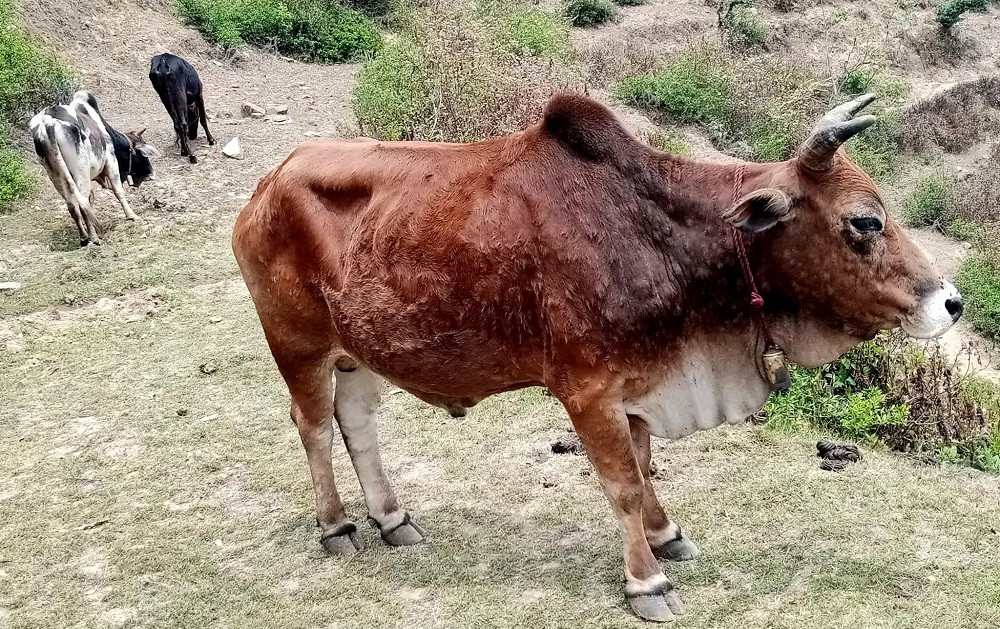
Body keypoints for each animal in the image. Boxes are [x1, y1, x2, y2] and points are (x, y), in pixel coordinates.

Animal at [30, 90, 160, 245]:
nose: (151, 174)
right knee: (82, 203)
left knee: (73, 206)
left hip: (56, 175)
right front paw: (132, 215)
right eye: (141, 154)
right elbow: (118, 191)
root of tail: (47, 123)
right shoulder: (110, 159)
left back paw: (84, 237)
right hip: (81, 171)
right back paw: (94, 237)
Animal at [232, 91, 960, 620]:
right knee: (312, 425)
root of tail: (269, 180)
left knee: (357, 424)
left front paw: (668, 535)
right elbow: (622, 485)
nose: (951, 301)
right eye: (865, 221)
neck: (658, 235)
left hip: (358, 352)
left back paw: (393, 518)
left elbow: (646, 469)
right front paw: (647, 582)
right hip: (298, 343)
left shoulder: (638, 382)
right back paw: (336, 527)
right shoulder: (587, 392)